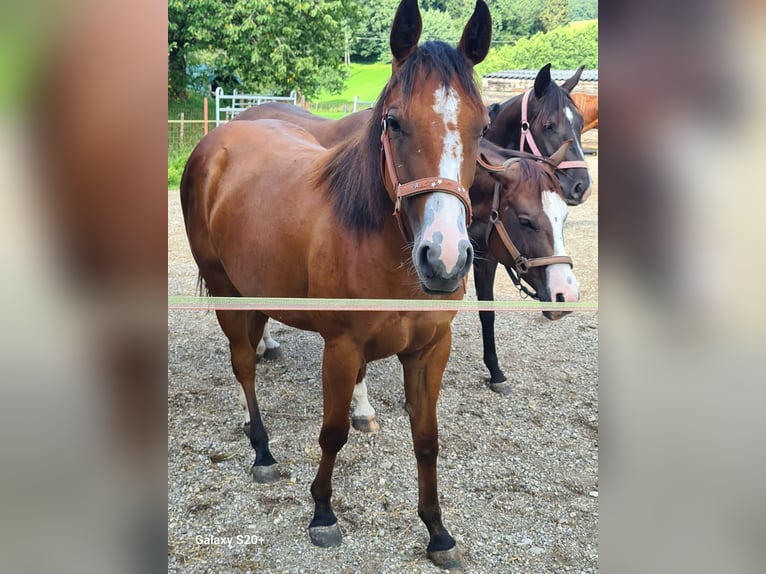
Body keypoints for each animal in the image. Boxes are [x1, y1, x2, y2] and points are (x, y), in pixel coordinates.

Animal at [180, 0, 492, 568]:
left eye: (481, 127)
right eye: (393, 121)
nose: (445, 258)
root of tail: (217, 139)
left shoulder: (430, 350)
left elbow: (427, 439)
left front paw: (438, 531)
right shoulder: (342, 348)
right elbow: (332, 433)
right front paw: (322, 513)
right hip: (225, 288)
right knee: (243, 364)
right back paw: (261, 448)